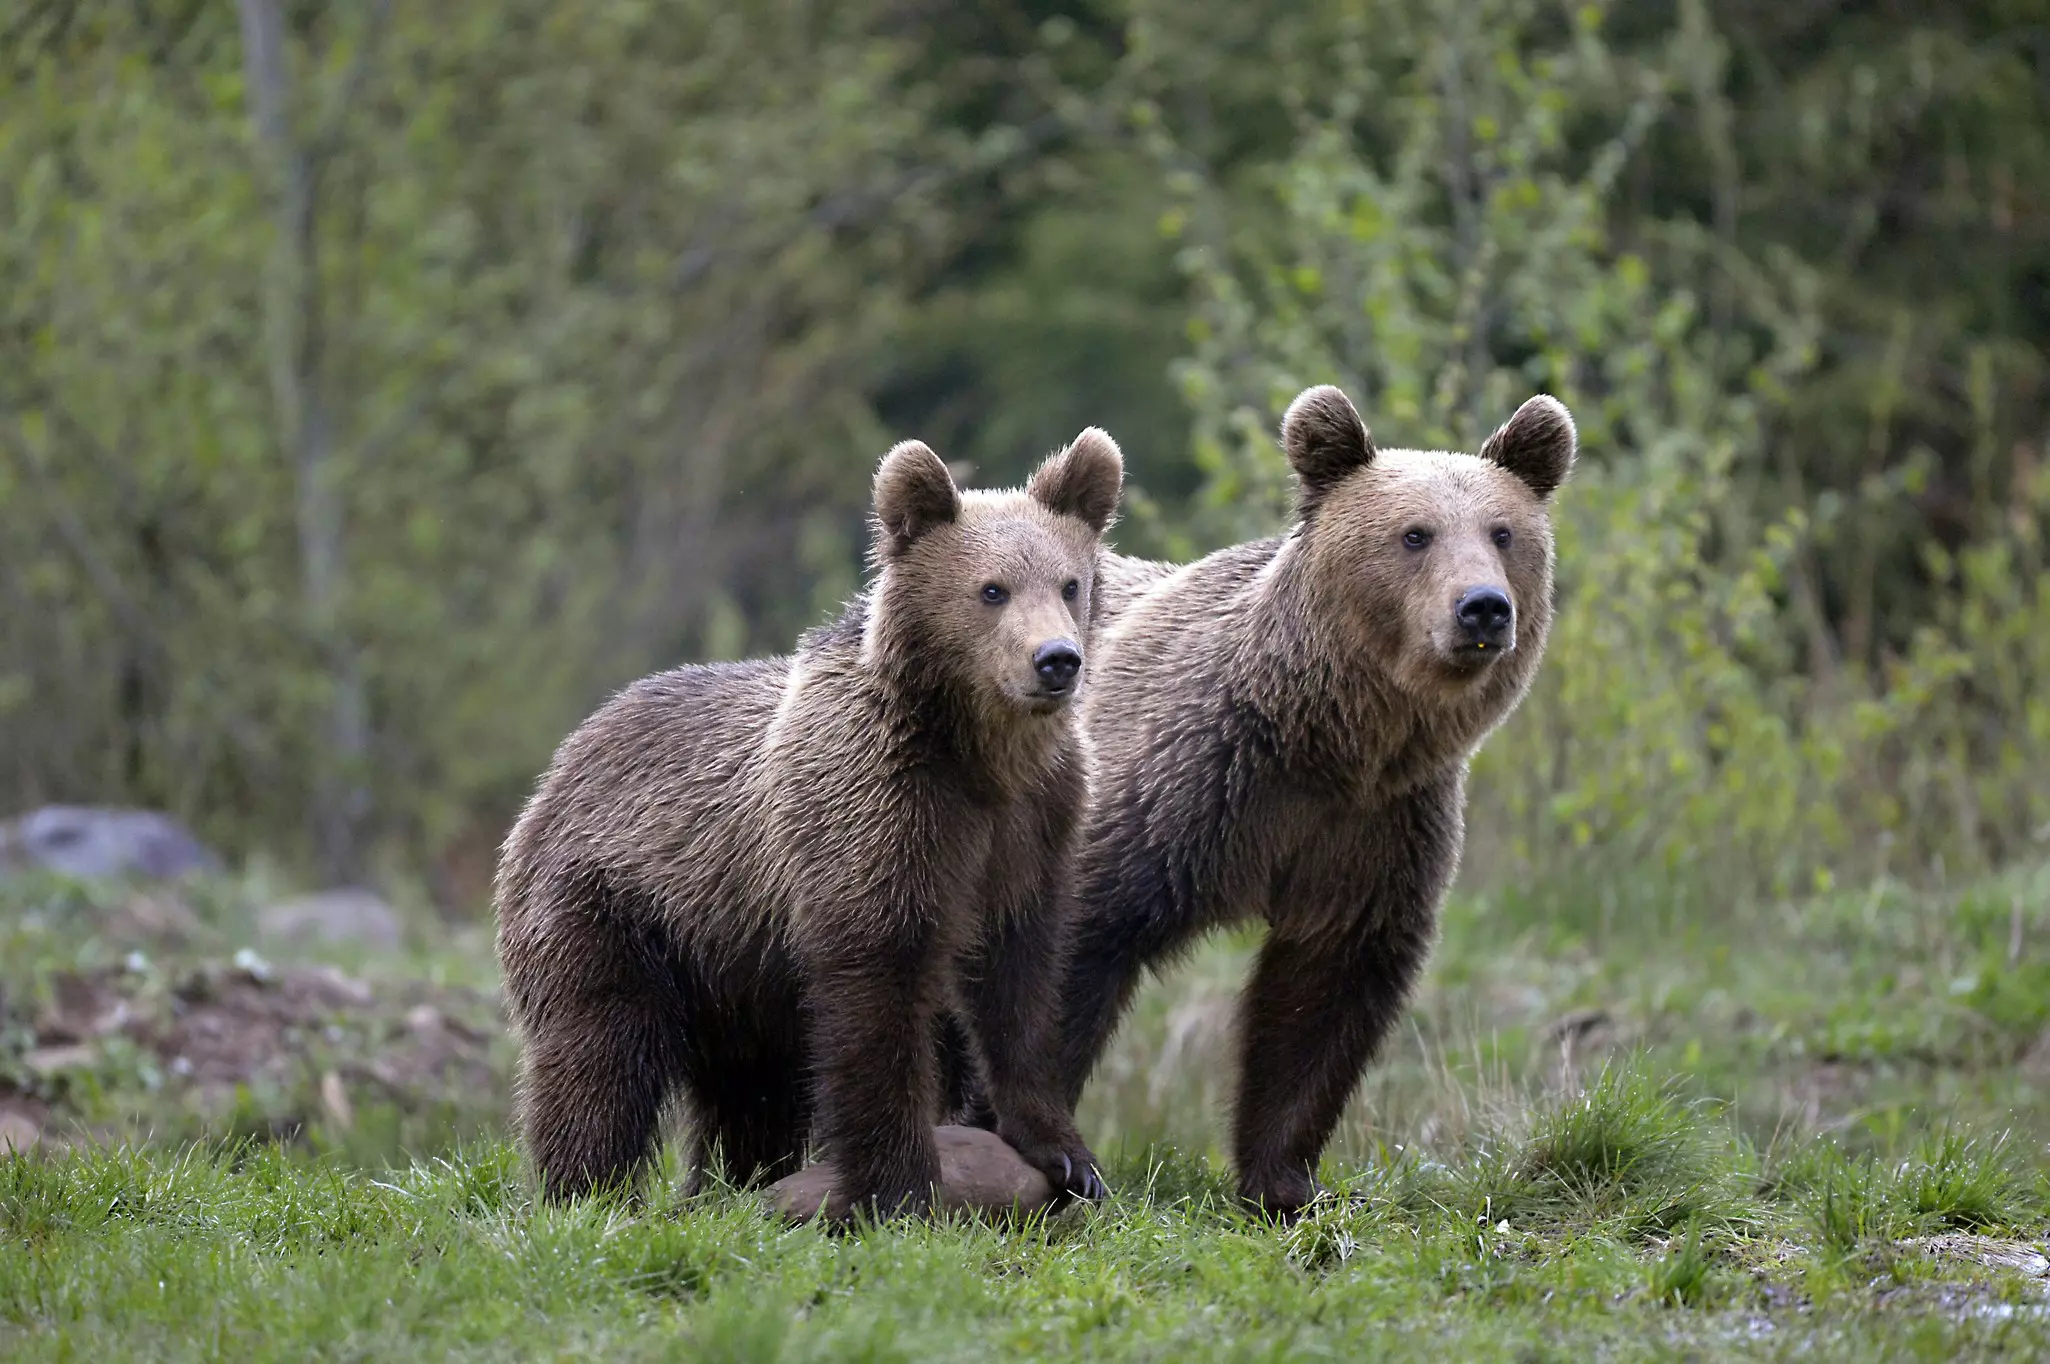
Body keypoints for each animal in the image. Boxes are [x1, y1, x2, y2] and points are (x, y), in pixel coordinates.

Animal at [494, 430, 1121, 1219]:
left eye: (1070, 583)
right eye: (991, 589)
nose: (1056, 660)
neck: (978, 756)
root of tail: (563, 762)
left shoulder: (1032, 831)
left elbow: (1021, 991)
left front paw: (1070, 1158)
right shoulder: (874, 818)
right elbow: (877, 998)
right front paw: (900, 1186)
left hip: (735, 967)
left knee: (751, 1091)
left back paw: (731, 1184)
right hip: (616, 906)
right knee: (598, 1052)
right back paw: (586, 1192)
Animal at [1042, 384, 1575, 1217]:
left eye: (1504, 532)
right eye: (1415, 534)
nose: (1483, 607)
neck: (1328, 741)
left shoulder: (1373, 831)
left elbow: (1321, 996)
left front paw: (1287, 1181)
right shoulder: (1182, 787)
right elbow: (1073, 940)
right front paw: (1058, 1161)